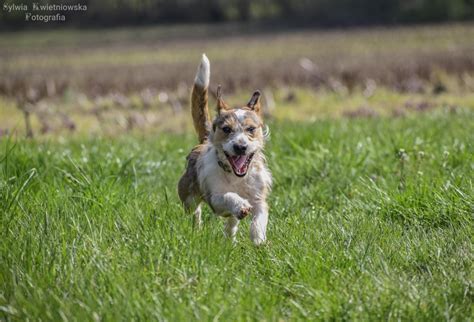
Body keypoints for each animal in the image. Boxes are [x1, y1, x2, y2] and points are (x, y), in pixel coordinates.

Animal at [178, 53, 272, 244]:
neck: (237, 177)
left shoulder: (259, 198)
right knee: (195, 211)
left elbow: (259, 217)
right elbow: (227, 196)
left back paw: (230, 240)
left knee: (231, 223)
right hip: (188, 195)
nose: (240, 147)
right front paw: (240, 205)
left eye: (251, 129)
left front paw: (258, 239)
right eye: (226, 129)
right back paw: (197, 229)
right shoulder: (215, 197)